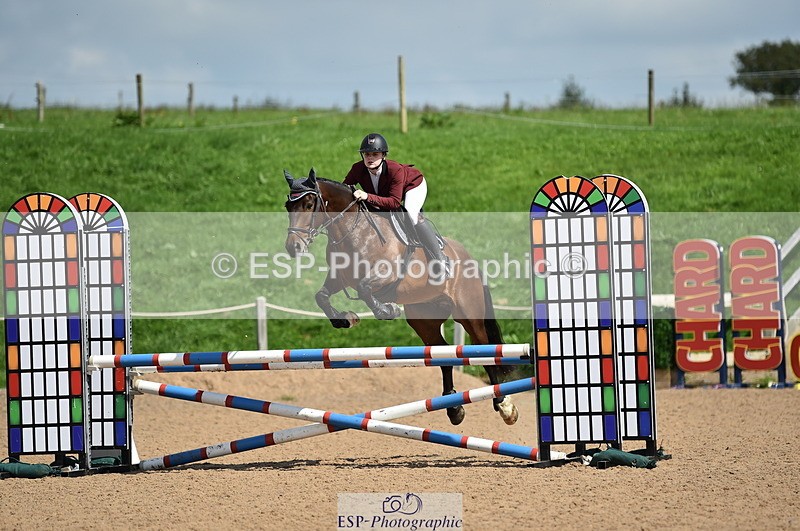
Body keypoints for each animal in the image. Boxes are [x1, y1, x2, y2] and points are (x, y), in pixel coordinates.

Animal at [283, 169, 518, 426]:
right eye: (288, 206)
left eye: (308, 204)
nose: (293, 248)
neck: (352, 231)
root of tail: (471, 260)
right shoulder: (339, 279)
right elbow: (322, 297)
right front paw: (345, 319)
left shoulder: (385, 274)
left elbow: (365, 289)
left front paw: (387, 310)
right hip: (424, 319)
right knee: (444, 354)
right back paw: (454, 408)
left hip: (469, 314)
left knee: (483, 348)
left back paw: (504, 405)